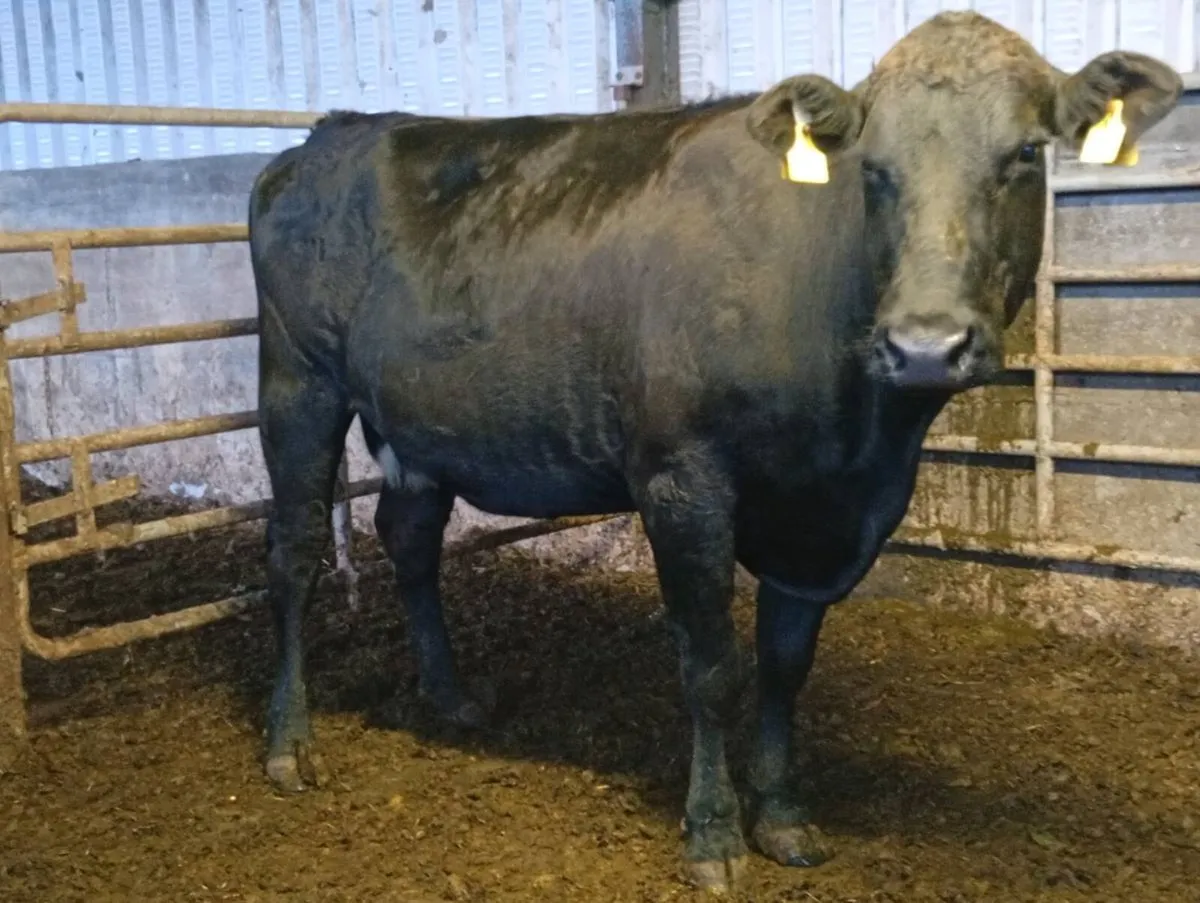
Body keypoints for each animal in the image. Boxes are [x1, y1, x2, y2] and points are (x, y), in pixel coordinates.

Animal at [247, 11, 1181, 891]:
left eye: (1024, 153)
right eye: (873, 168)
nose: (924, 344)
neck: (860, 444)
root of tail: (326, 135)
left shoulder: (824, 515)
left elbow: (784, 665)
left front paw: (784, 815)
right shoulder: (681, 478)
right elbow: (710, 667)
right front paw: (714, 835)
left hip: (418, 421)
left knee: (409, 539)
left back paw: (448, 696)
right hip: (298, 382)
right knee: (294, 550)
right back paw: (290, 742)